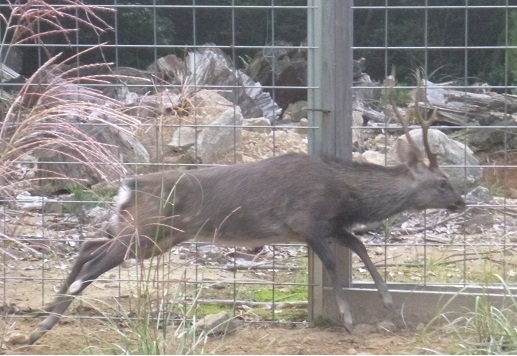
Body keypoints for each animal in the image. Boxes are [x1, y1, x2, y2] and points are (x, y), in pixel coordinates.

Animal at [27, 86, 464, 344]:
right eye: (443, 181)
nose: (461, 202)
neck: (345, 194)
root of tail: (129, 185)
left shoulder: (329, 225)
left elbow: (359, 247)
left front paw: (391, 307)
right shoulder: (306, 221)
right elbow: (333, 266)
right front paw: (349, 321)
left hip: (151, 234)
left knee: (88, 244)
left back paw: (47, 308)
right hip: (148, 230)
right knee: (94, 262)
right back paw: (42, 328)